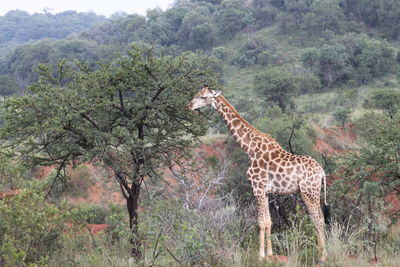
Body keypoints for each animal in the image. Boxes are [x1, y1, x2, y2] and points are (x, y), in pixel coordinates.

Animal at [188, 86, 328, 264]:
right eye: (198, 94)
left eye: (204, 97)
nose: (189, 106)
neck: (249, 148)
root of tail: (321, 171)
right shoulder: (266, 191)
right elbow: (269, 221)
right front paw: (269, 254)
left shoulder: (257, 187)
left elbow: (261, 222)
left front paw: (261, 256)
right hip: (312, 192)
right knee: (319, 219)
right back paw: (319, 254)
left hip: (308, 191)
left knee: (318, 219)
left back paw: (323, 256)